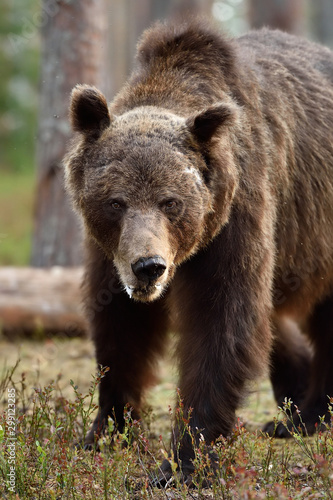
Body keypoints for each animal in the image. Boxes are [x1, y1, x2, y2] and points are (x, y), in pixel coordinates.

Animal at [64, 18, 332, 480]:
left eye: (170, 201)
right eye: (116, 201)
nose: (149, 266)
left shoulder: (237, 218)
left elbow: (222, 325)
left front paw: (184, 460)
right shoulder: (109, 252)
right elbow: (120, 326)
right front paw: (107, 431)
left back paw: (310, 415)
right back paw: (297, 407)